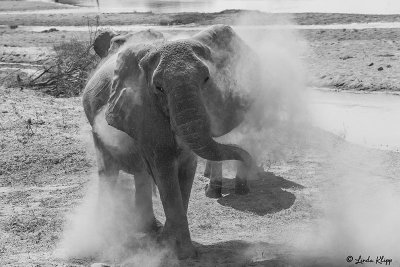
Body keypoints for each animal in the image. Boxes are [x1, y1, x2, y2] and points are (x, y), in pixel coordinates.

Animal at [83, 25, 260, 260]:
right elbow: (164, 170)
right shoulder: (144, 109)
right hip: (97, 129)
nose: (249, 166)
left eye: (206, 79)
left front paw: (169, 242)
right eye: (158, 88)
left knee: (141, 173)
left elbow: (186, 168)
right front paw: (183, 253)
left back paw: (150, 228)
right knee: (108, 170)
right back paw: (108, 232)